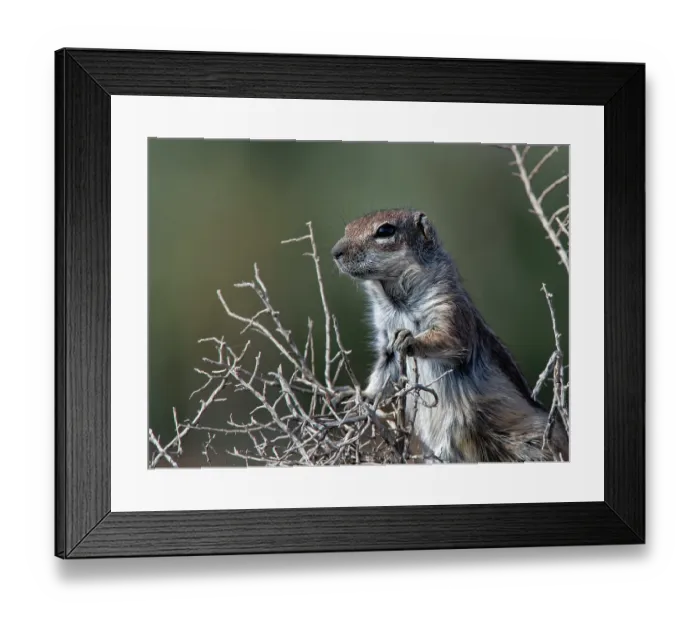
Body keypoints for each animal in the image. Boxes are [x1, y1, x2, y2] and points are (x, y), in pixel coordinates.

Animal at [331, 209, 569, 463]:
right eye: (348, 228)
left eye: (385, 230)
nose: (335, 252)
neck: (395, 301)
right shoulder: (385, 339)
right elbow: (383, 372)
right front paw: (360, 396)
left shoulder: (449, 309)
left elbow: (449, 339)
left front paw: (411, 339)